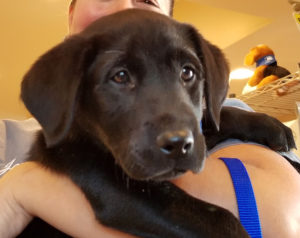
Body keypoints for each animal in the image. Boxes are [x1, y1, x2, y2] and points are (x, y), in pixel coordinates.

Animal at [19, 9, 296, 238]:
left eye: (188, 72)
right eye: (120, 76)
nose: (178, 145)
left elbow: (212, 118)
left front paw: (271, 126)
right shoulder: (116, 191)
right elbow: (220, 218)